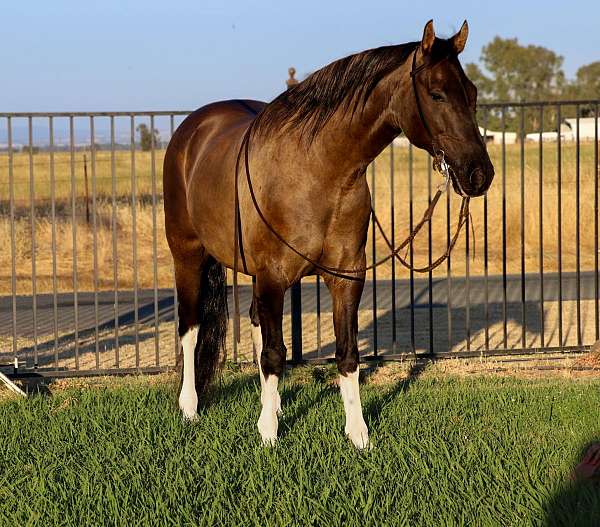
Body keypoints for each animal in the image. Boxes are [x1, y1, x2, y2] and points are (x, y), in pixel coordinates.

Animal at [163, 21, 492, 450]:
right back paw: (190, 408)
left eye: (471, 93)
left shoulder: (346, 276)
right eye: (436, 93)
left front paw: (358, 434)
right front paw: (268, 434)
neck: (319, 170)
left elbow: (346, 354)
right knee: (190, 327)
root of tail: (192, 130)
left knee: (253, 323)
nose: (479, 174)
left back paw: (272, 404)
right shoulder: (272, 276)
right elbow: (274, 353)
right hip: (187, 255)